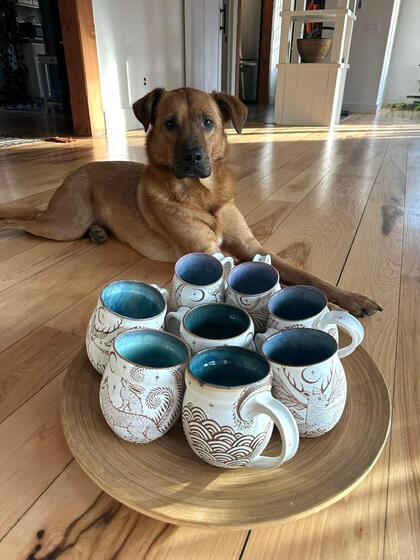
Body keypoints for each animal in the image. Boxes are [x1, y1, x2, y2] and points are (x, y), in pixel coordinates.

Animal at [0, 85, 380, 318]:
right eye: (169, 124)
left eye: (208, 122)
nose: (194, 157)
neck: (203, 195)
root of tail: (75, 172)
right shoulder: (212, 252)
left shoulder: (252, 245)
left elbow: (304, 274)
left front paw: (350, 297)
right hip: (64, 224)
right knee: (25, 219)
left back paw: (98, 232)